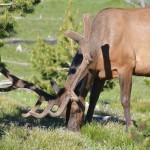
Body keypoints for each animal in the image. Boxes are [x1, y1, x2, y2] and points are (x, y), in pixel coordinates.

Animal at [0, 7, 149, 131]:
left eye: (76, 107)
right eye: (64, 112)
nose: (71, 129)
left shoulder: (126, 65)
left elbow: (125, 99)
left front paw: (129, 128)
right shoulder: (100, 73)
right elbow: (94, 98)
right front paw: (88, 123)